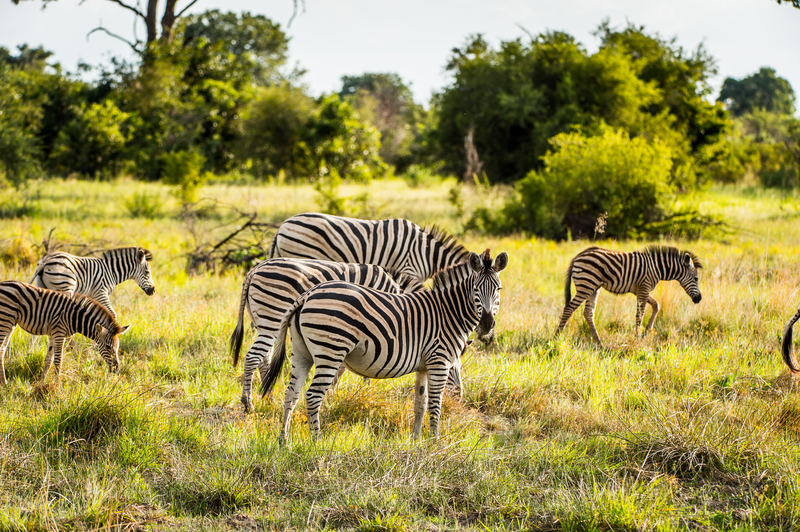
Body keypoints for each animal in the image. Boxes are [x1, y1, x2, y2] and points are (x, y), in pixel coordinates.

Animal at [0, 280, 130, 384]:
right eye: (108, 346)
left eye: (117, 347)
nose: (117, 369)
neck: (75, 317)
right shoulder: (59, 333)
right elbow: (58, 361)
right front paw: (57, 386)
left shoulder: (53, 334)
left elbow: (48, 360)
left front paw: (42, 383)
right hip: (5, 319)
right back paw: (4, 383)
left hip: (12, 323)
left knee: (2, 349)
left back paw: (4, 382)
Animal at [228, 256, 428, 412]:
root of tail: (255, 269)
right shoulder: (371, 328)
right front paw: (356, 388)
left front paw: (338, 390)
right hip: (274, 315)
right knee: (253, 357)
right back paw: (248, 403)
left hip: (263, 321)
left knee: (264, 358)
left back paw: (267, 396)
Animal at [262, 249, 510, 440]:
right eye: (476, 289)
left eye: (498, 289)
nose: (486, 324)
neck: (449, 312)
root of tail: (307, 294)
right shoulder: (439, 361)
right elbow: (435, 404)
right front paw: (435, 442)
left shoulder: (423, 366)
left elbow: (419, 404)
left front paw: (416, 442)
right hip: (330, 351)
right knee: (313, 396)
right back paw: (317, 441)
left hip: (301, 352)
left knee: (291, 394)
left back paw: (283, 441)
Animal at [552, 246, 704, 348]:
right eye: (696, 278)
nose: (699, 299)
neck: (657, 268)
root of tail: (578, 256)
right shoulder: (644, 288)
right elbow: (640, 315)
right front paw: (637, 338)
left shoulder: (640, 290)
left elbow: (656, 305)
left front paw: (646, 332)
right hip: (586, 285)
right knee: (569, 308)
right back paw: (556, 338)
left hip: (593, 288)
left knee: (588, 313)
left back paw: (600, 344)